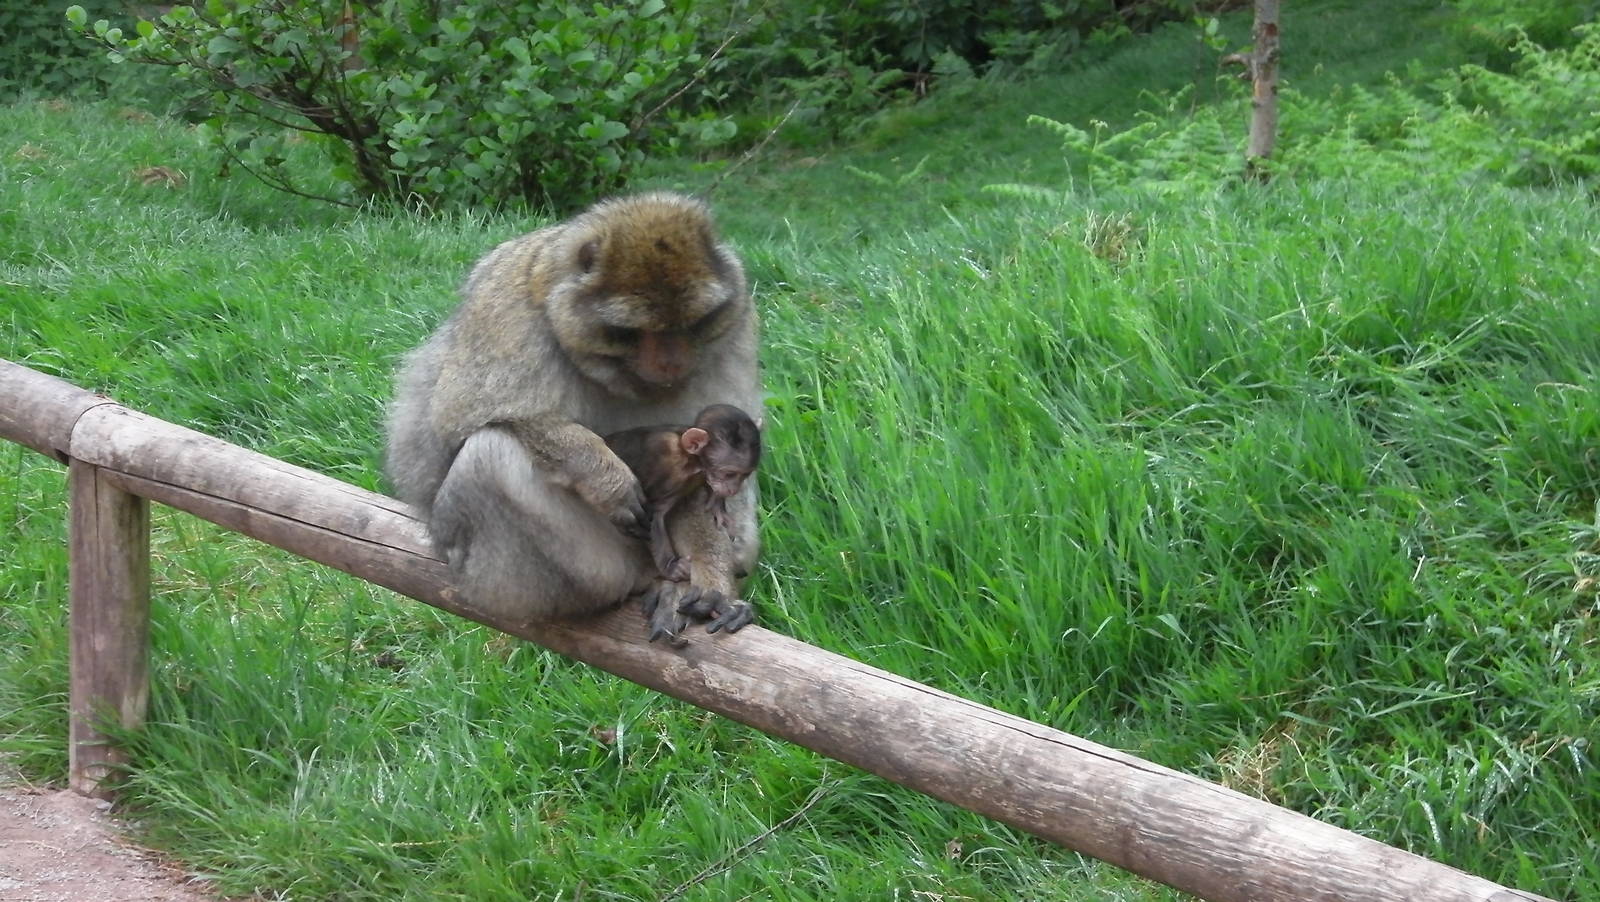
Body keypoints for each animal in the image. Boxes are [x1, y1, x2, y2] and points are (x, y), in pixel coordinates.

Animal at [605, 404, 763, 583]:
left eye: (745, 475)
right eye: (729, 474)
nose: (733, 489)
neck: (690, 459)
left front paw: (718, 507)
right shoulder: (667, 474)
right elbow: (651, 516)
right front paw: (671, 567)